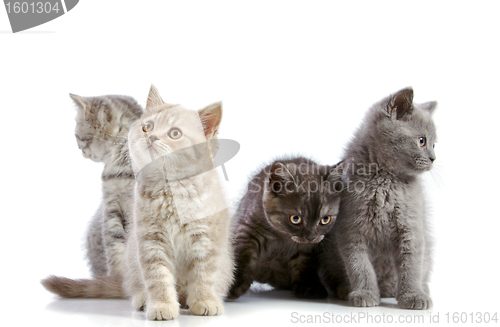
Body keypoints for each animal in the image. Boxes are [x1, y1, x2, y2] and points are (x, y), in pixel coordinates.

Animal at [229, 158, 342, 302]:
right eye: (295, 219)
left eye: (325, 219)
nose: (311, 237)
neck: (283, 237)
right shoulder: (247, 229)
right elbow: (242, 255)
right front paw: (232, 284)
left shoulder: (308, 248)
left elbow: (305, 264)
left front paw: (308, 287)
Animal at [322, 88, 436, 312]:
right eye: (422, 141)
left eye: (435, 144)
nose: (434, 158)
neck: (386, 180)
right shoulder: (351, 228)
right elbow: (359, 265)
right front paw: (365, 294)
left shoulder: (411, 226)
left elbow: (411, 264)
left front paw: (413, 295)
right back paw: (344, 289)